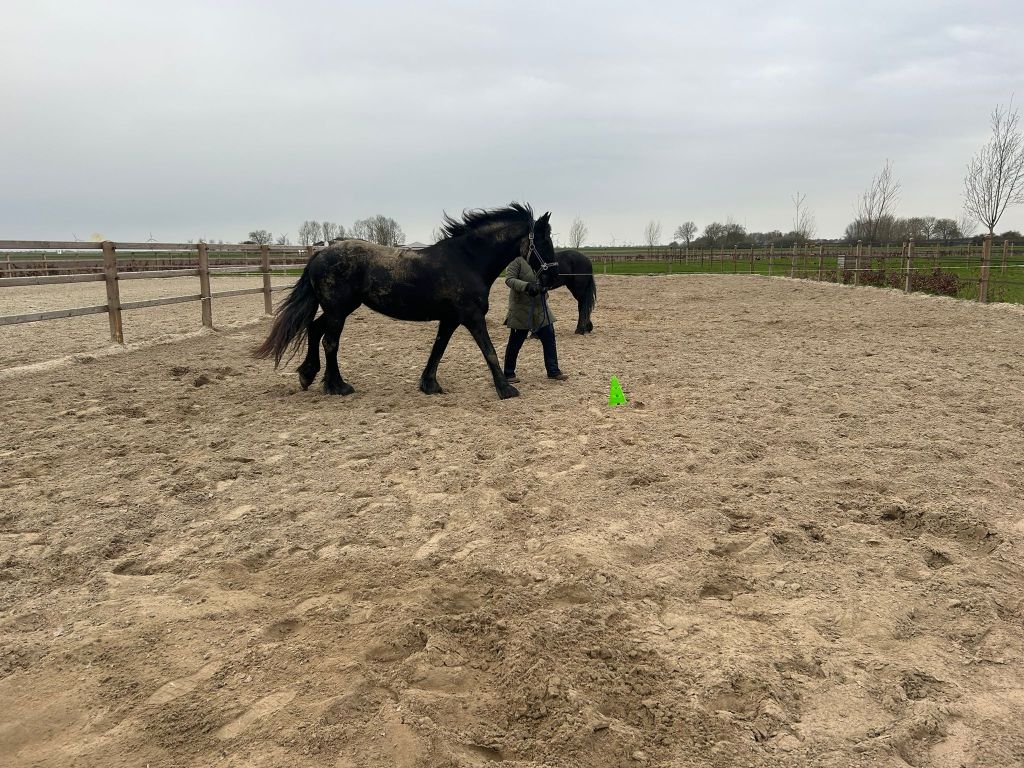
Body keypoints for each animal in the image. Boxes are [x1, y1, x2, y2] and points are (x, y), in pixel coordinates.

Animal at [253, 203, 558, 400]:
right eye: (544, 242)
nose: (551, 277)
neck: (467, 260)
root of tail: (319, 254)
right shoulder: (471, 316)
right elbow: (489, 350)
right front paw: (506, 389)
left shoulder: (450, 319)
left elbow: (438, 349)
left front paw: (429, 384)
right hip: (338, 310)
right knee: (330, 342)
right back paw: (337, 386)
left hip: (338, 309)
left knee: (315, 330)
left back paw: (308, 375)